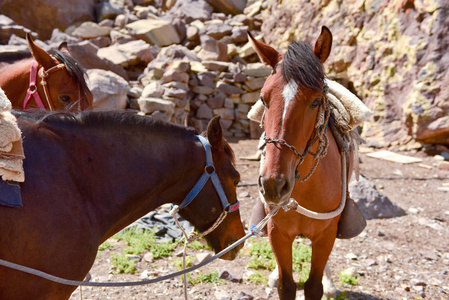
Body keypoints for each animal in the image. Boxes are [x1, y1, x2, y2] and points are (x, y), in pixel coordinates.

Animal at [248, 27, 364, 298]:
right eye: (264, 99)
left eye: (315, 101)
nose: (273, 185)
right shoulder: (278, 232)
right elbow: (286, 285)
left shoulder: (325, 234)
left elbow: (313, 286)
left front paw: (326, 284)